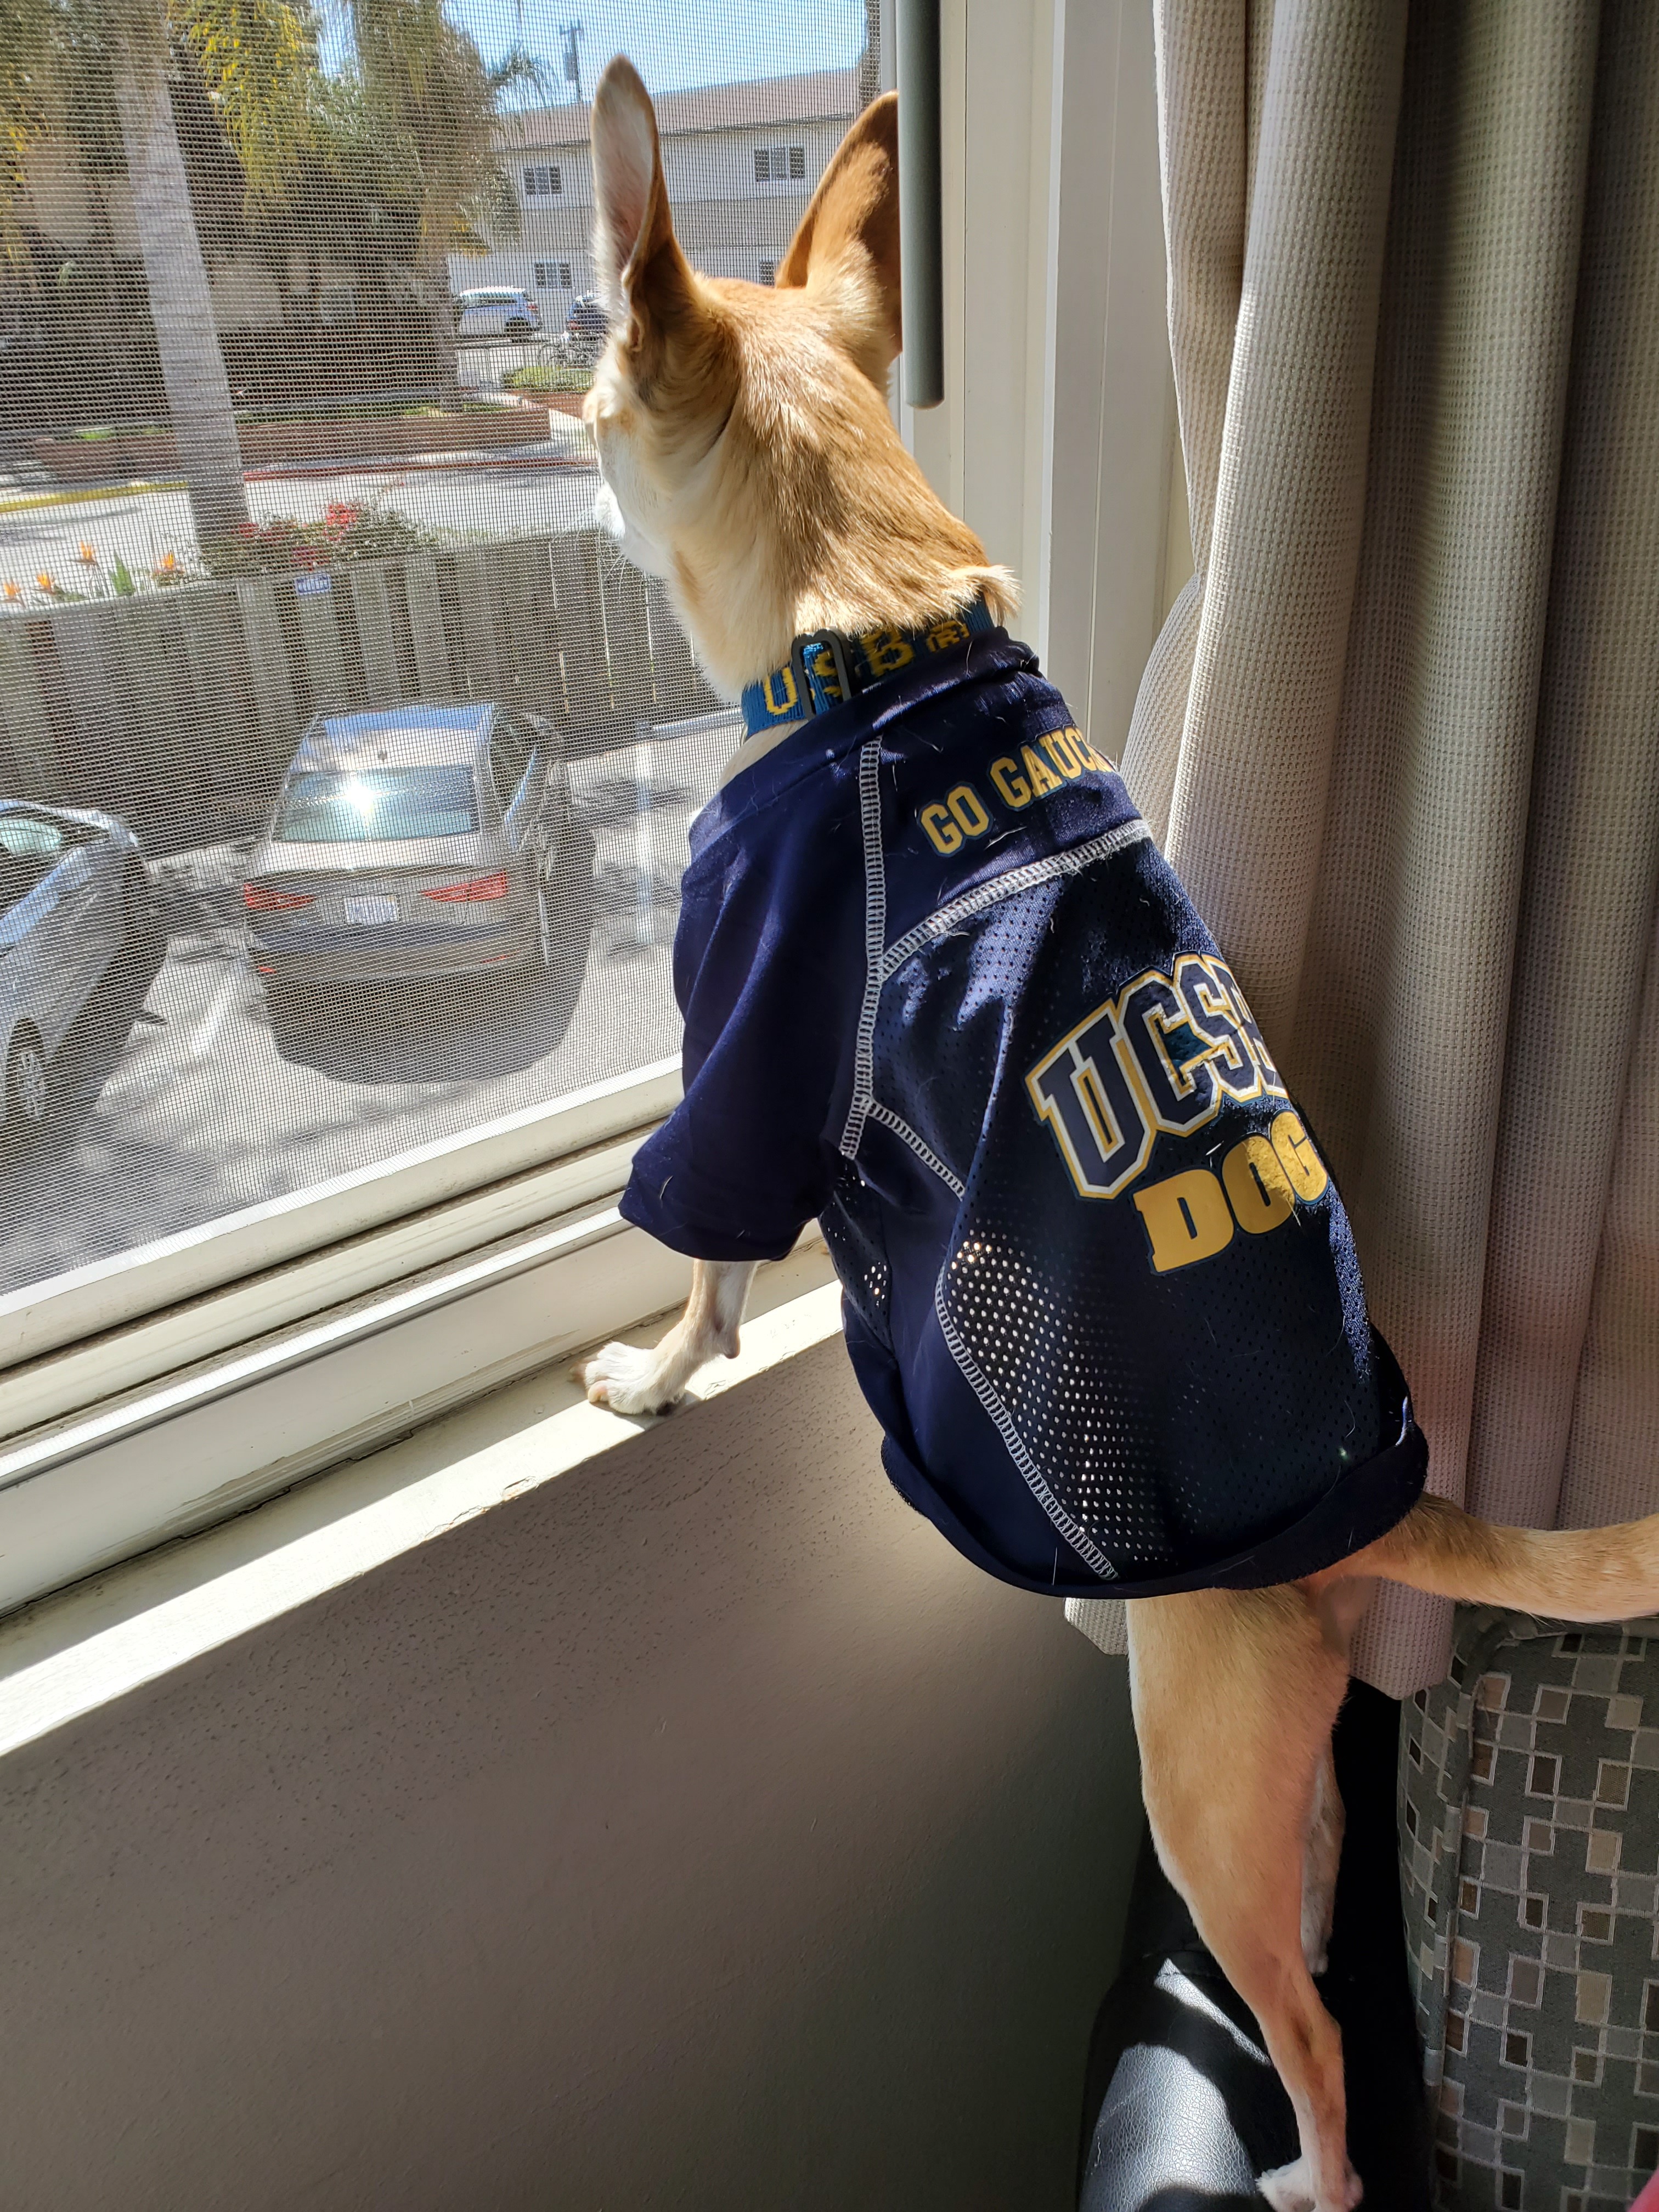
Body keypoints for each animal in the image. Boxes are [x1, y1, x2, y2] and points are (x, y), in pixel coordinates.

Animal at [575, 59, 1659, 2211]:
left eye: (589, 399)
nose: (555, 443)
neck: (871, 621)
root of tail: (1375, 1507)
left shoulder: (742, 1050)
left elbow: (706, 1247)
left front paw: (654, 1373)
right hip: (1270, 1784)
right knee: (1317, 1923)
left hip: (1195, 1767)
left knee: (1317, 2031)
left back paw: (1307, 2176)